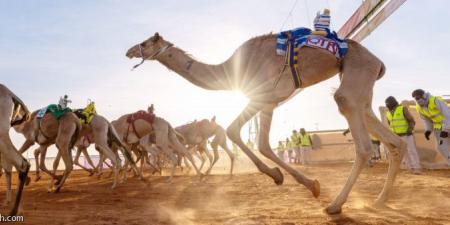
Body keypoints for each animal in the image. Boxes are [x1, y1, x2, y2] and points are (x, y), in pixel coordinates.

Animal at [125, 31, 406, 213]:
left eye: (145, 42)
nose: (129, 51)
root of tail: (379, 62)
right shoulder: (267, 102)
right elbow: (259, 143)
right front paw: (290, 179)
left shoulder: (264, 96)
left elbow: (237, 132)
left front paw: (296, 181)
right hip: (361, 85)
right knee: (393, 140)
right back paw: (379, 201)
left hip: (357, 72)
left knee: (361, 139)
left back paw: (336, 205)